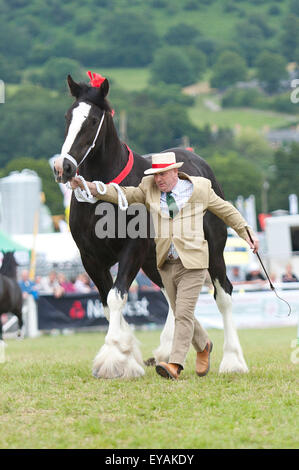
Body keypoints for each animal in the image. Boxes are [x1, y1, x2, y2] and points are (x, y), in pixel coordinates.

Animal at [53, 74, 248, 378]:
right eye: (67, 116)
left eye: (93, 120)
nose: (64, 168)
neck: (104, 196)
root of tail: (199, 162)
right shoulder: (90, 259)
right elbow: (107, 303)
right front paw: (126, 355)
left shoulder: (131, 250)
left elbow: (116, 297)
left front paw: (113, 358)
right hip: (157, 260)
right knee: (173, 297)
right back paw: (174, 349)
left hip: (213, 252)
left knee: (224, 295)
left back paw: (233, 361)